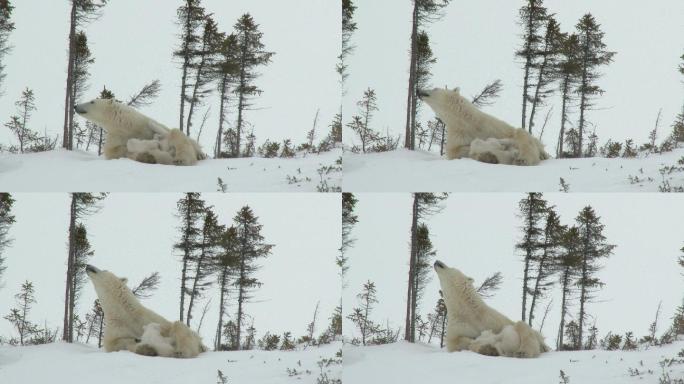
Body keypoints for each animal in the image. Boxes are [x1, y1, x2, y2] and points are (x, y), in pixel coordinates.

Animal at [74, 97, 204, 165]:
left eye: (92, 101)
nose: (75, 106)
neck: (124, 124)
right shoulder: (115, 136)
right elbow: (113, 151)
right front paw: (150, 145)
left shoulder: (144, 122)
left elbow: (161, 129)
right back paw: (148, 157)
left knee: (177, 134)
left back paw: (183, 158)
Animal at [414, 88, 548, 166]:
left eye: (435, 88)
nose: (418, 89)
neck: (466, 122)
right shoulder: (458, 135)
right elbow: (457, 151)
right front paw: (488, 155)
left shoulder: (492, 125)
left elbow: (518, 132)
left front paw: (523, 159)